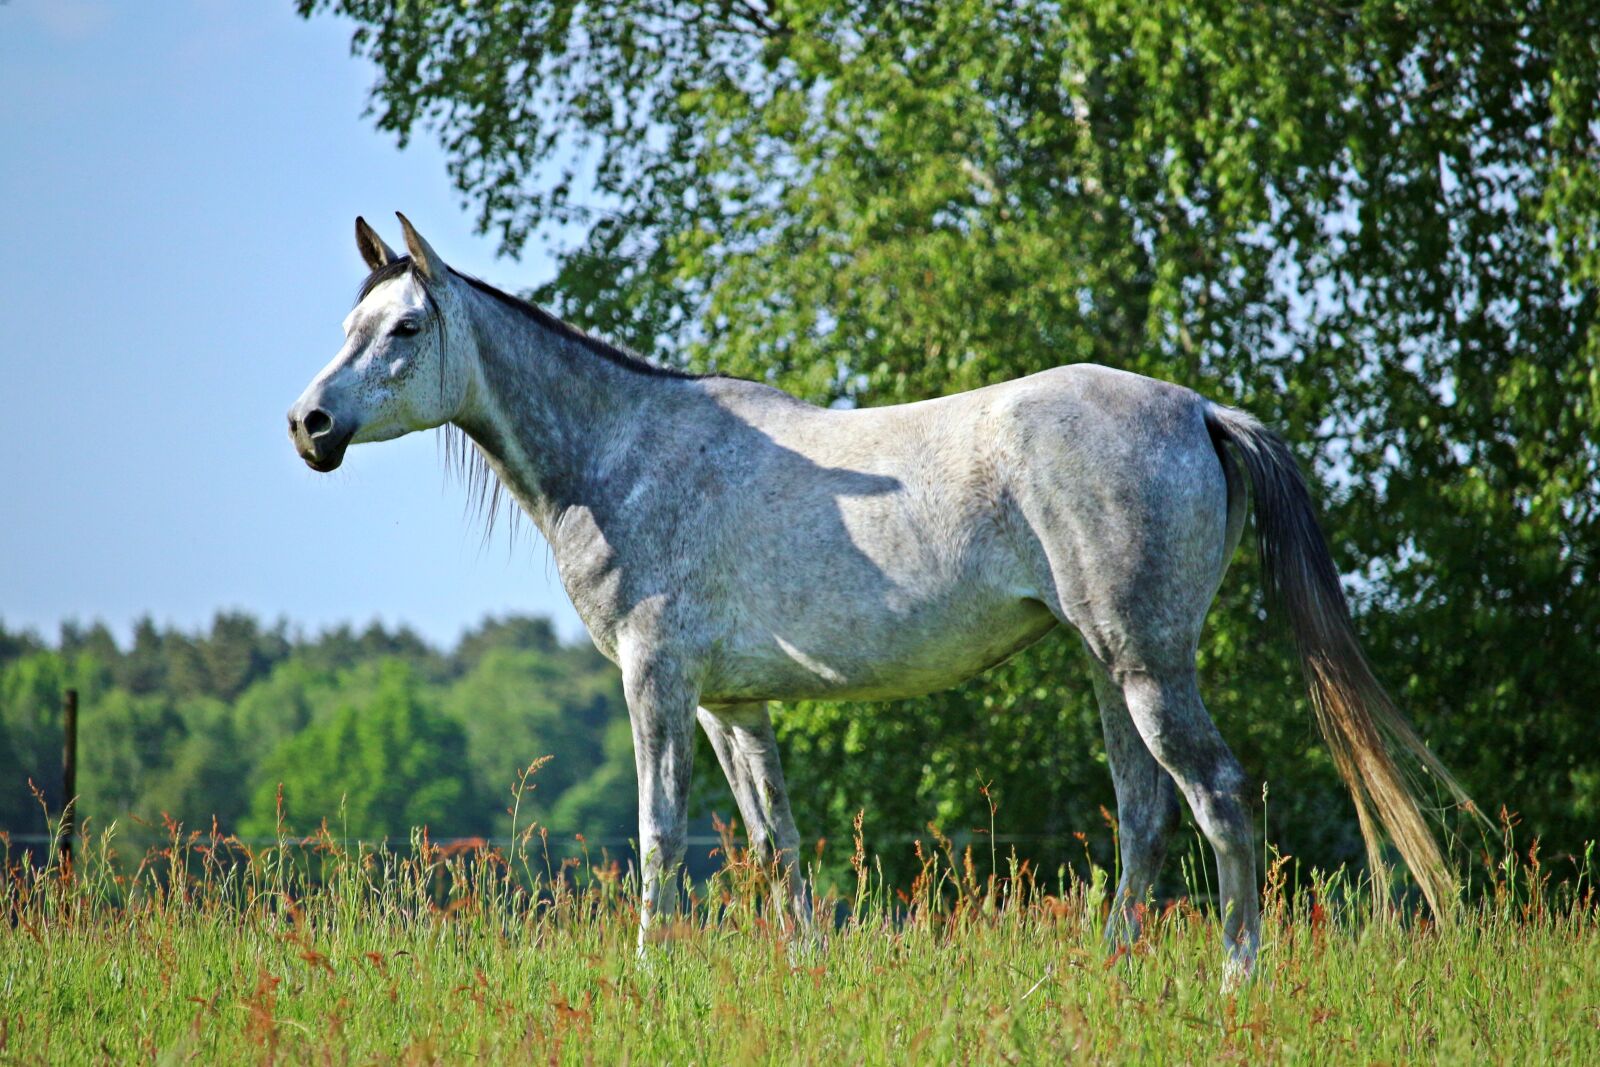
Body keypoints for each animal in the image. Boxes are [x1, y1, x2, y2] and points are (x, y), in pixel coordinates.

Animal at [287, 214, 1472, 980]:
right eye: (349, 325)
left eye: (405, 330)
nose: (309, 424)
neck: (625, 452)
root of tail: (1196, 408)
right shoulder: (733, 705)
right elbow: (776, 843)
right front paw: (805, 974)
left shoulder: (656, 680)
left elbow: (660, 835)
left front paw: (648, 977)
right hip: (1107, 664)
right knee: (1144, 814)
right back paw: (1112, 975)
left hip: (1146, 663)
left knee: (1219, 799)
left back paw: (1235, 982)